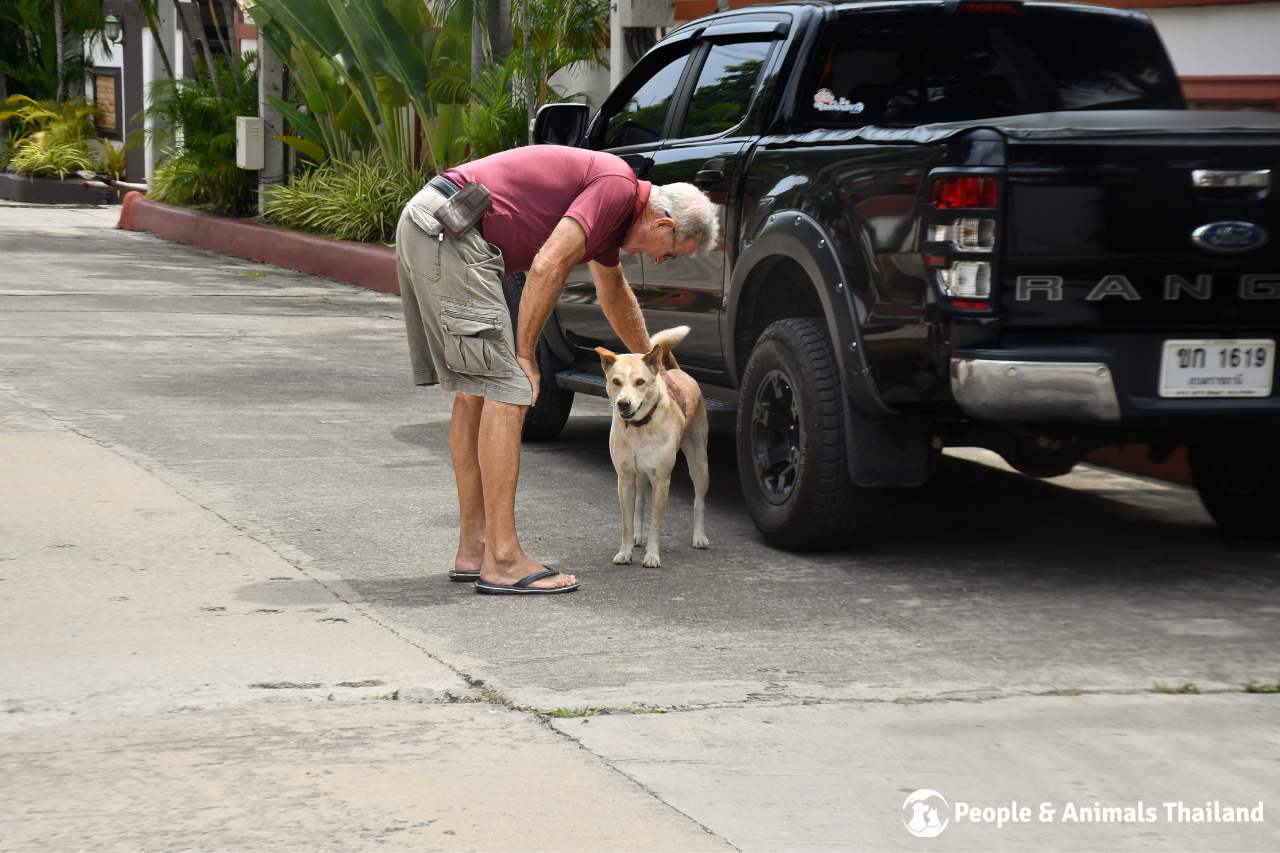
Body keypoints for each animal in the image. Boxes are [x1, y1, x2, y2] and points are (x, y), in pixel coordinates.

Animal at [596, 325, 711, 563]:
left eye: (640, 382)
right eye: (616, 382)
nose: (623, 403)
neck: (639, 428)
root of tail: (676, 371)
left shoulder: (661, 480)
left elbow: (656, 524)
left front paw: (651, 555)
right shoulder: (625, 479)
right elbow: (627, 523)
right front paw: (626, 551)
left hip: (700, 466)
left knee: (699, 502)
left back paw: (699, 536)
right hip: (640, 477)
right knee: (640, 503)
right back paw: (638, 537)